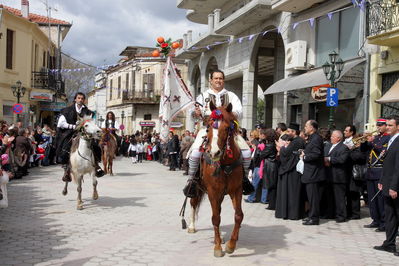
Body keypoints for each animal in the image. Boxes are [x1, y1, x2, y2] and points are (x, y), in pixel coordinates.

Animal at [188, 102, 244, 258]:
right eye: (208, 128)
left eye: (226, 128)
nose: (214, 153)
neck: (225, 164)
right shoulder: (213, 191)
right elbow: (215, 218)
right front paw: (218, 248)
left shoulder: (236, 190)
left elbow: (238, 216)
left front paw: (231, 245)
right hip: (197, 188)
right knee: (193, 203)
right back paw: (191, 226)